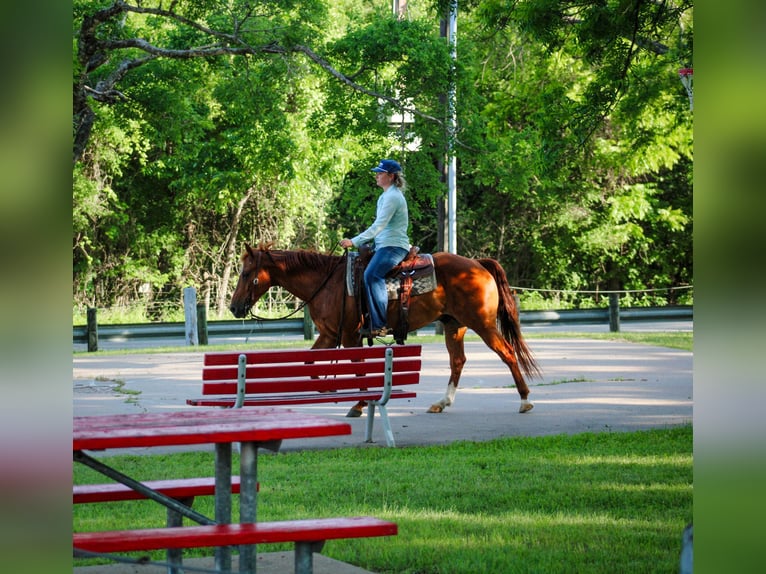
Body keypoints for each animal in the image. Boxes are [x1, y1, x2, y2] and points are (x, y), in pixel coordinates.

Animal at [228, 243, 540, 418]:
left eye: (246, 273)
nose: (234, 307)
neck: (327, 282)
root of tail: (478, 264)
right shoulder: (329, 334)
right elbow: (310, 364)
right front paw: (328, 387)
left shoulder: (349, 335)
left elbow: (359, 369)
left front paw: (359, 404)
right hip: (454, 325)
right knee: (458, 361)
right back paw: (442, 402)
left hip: (483, 324)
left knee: (507, 353)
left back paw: (525, 401)